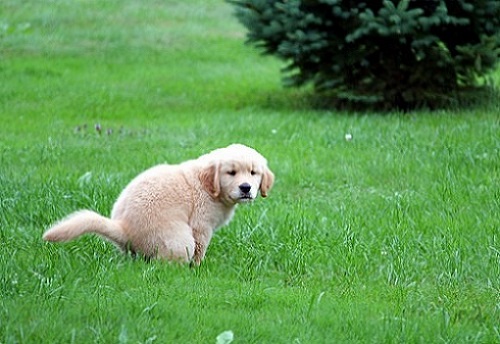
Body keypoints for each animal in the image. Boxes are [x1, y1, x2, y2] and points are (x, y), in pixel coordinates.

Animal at [43, 144, 276, 264]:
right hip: (179, 240)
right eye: (232, 172)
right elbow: (200, 249)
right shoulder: (201, 227)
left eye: (253, 173)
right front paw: (198, 267)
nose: (246, 188)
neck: (208, 186)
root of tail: (123, 229)